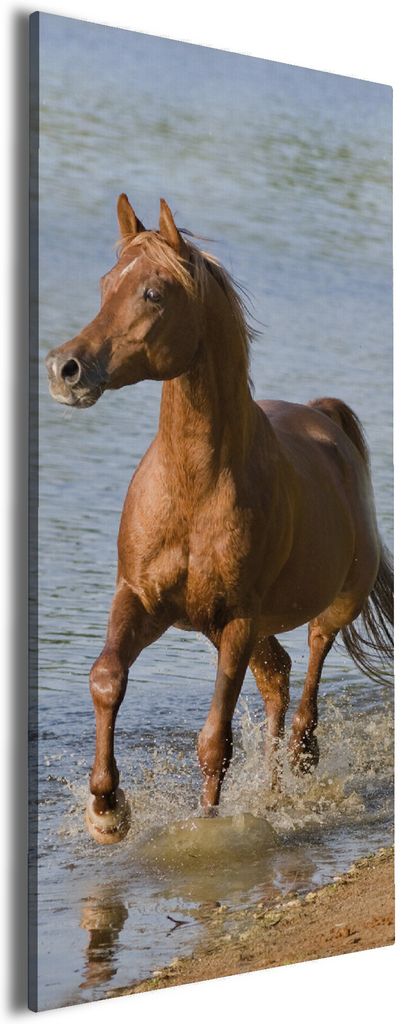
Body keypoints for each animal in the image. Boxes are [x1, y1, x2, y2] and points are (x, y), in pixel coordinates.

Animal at [46, 194, 393, 844]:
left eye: (154, 293)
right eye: (106, 283)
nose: (65, 368)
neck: (193, 488)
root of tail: (324, 419)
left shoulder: (236, 621)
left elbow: (215, 742)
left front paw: (205, 827)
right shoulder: (141, 599)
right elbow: (107, 677)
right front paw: (107, 808)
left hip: (329, 606)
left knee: (309, 675)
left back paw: (297, 769)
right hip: (241, 630)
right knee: (278, 680)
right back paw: (274, 796)